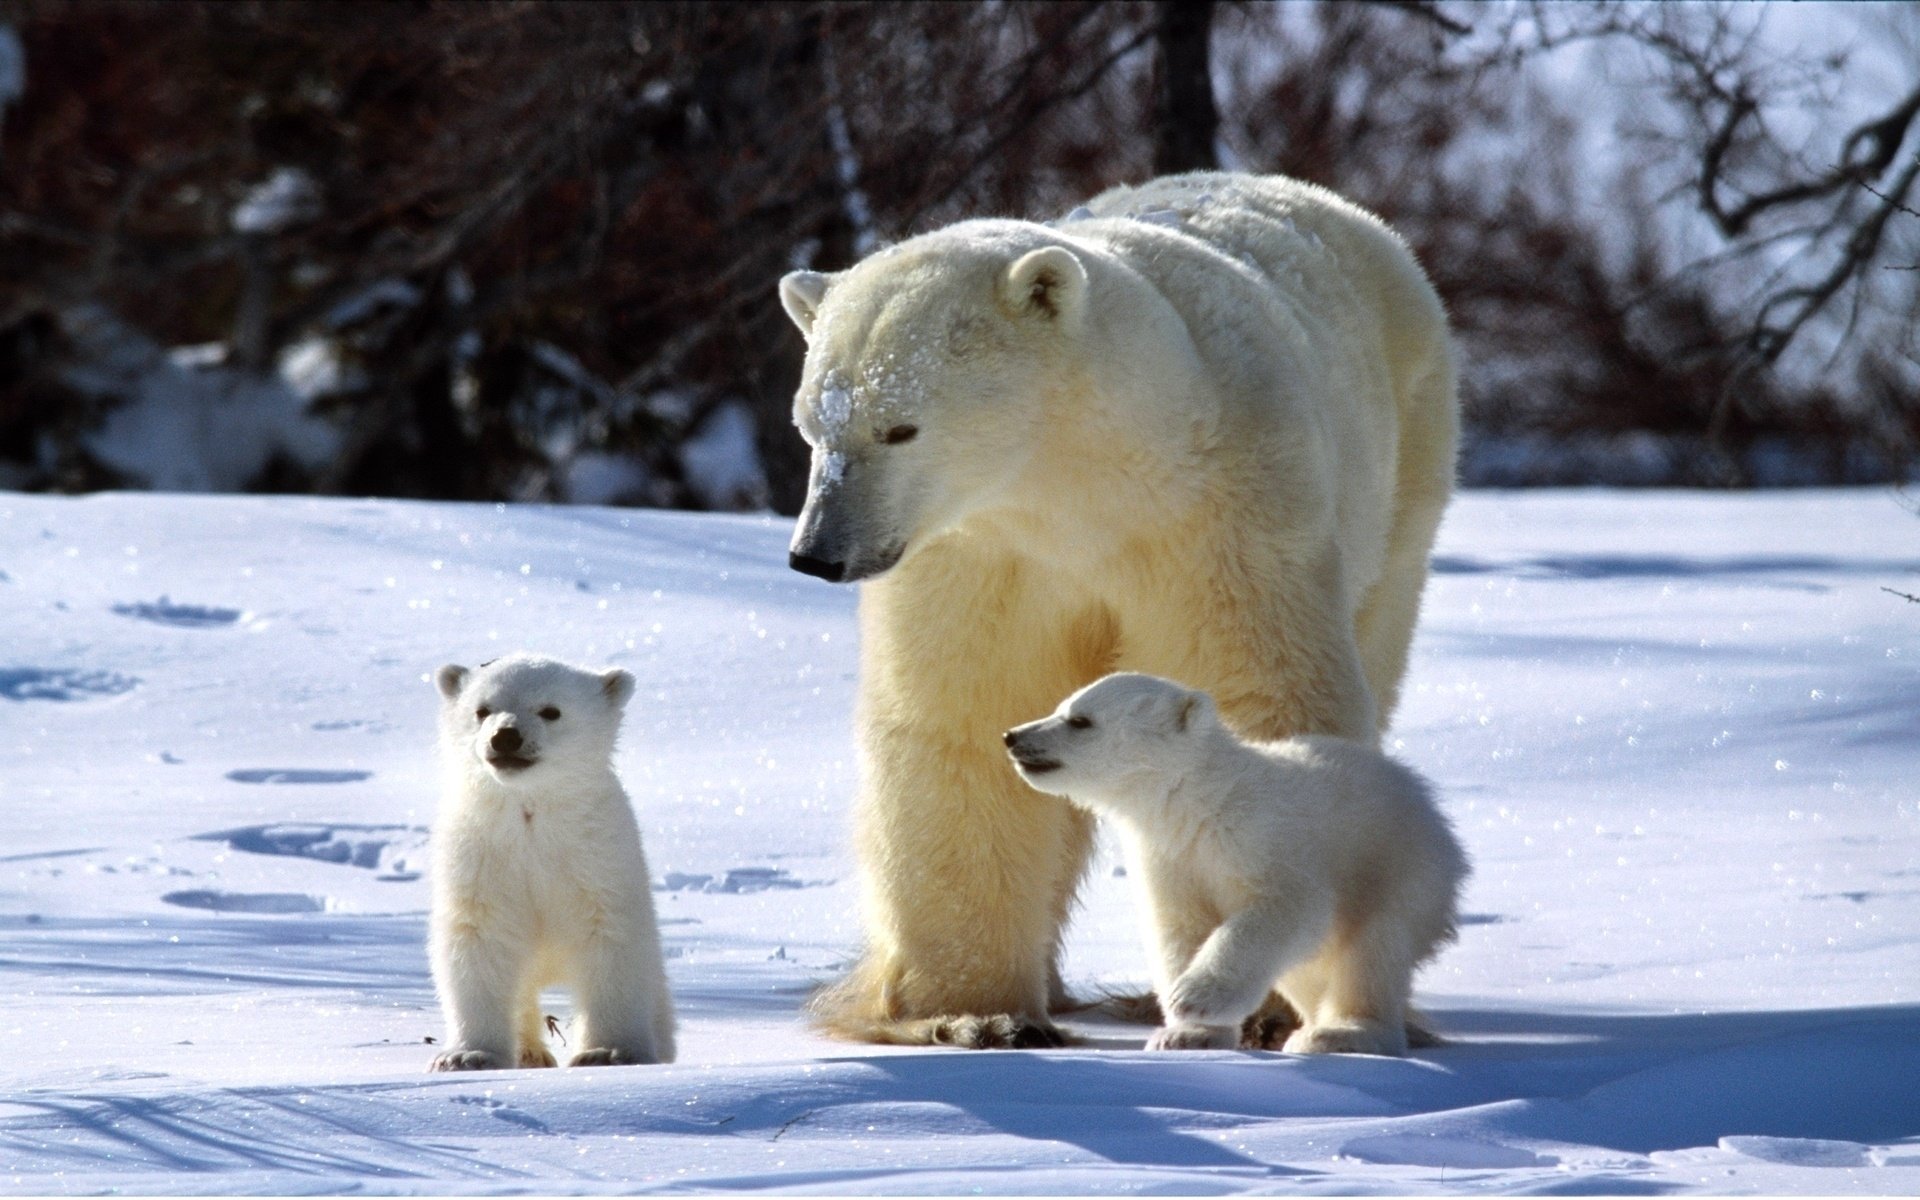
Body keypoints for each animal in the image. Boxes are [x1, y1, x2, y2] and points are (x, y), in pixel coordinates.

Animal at [427, 653, 676, 1071]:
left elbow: (611, 940)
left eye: (551, 710)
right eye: (482, 710)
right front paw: (467, 1055)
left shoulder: (596, 859)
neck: (531, 816)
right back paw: (530, 1053)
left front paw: (608, 1052)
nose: (505, 737)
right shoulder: (481, 859)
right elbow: (478, 941)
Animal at [1005, 672, 1467, 1056]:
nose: (1012, 735)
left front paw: (1194, 998)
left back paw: (1339, 1033)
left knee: (1371, 950)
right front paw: (1186, 1035)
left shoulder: (1263, 835)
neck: (1201, 800)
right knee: (1308, 970)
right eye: (1062, 706)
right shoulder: (1169, 857)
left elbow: (1286, 907)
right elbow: (1180, 928)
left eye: (1079, 720)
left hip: (1398, 867)